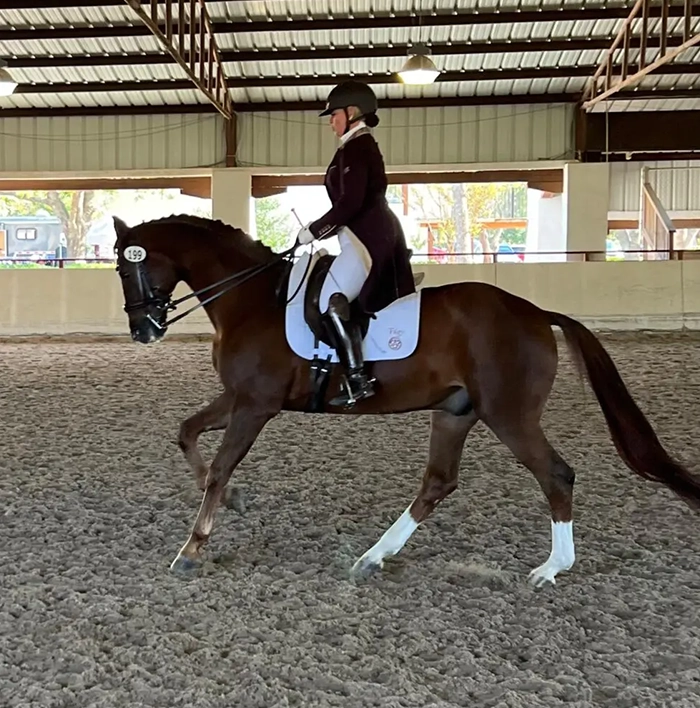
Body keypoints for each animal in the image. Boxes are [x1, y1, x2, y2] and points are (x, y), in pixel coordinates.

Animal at [112, 214, 700, 588]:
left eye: (128, 268)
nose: (144, 331)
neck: (253, 299)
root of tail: (535, 312)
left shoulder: (256, 405)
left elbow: (217, 467)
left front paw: (192, 548)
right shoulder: (237, 397)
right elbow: (187, 434)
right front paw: (232, 502)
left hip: (508, 415)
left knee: (555, 474)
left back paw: (550, 569)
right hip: (456, 412)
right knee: (438, 483)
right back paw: (373, 557)